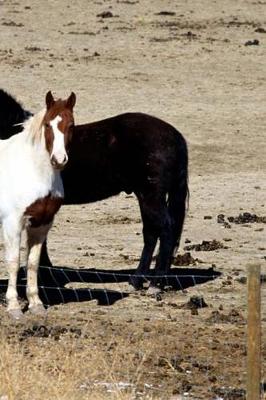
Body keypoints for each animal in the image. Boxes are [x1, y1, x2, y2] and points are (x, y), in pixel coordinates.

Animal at [0, 90, 75, 318]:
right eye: (48, 125)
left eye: (71, 125)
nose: (59, 159)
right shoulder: (13, 223)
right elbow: (14, 261)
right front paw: (14, 307)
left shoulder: (42, 223)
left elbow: (33, 263)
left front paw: (35, 304)